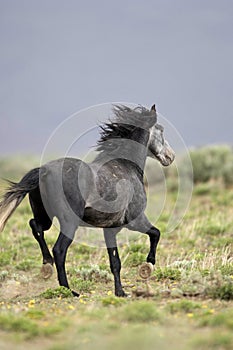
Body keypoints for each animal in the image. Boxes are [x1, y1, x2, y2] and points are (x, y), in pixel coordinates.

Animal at [0, 104, 175, 298]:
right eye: (161, 130)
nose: (171, 156)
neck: (126, 167)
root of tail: (43, 171)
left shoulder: (110, 229)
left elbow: (115, 262)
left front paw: (120, 292)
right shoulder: (135, 220)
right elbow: (156, 233)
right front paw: (147, 266)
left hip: (45, 215)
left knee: (35, 226)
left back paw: (47, 265)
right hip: (69, 222)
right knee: (59, 250)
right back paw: (68, 289)